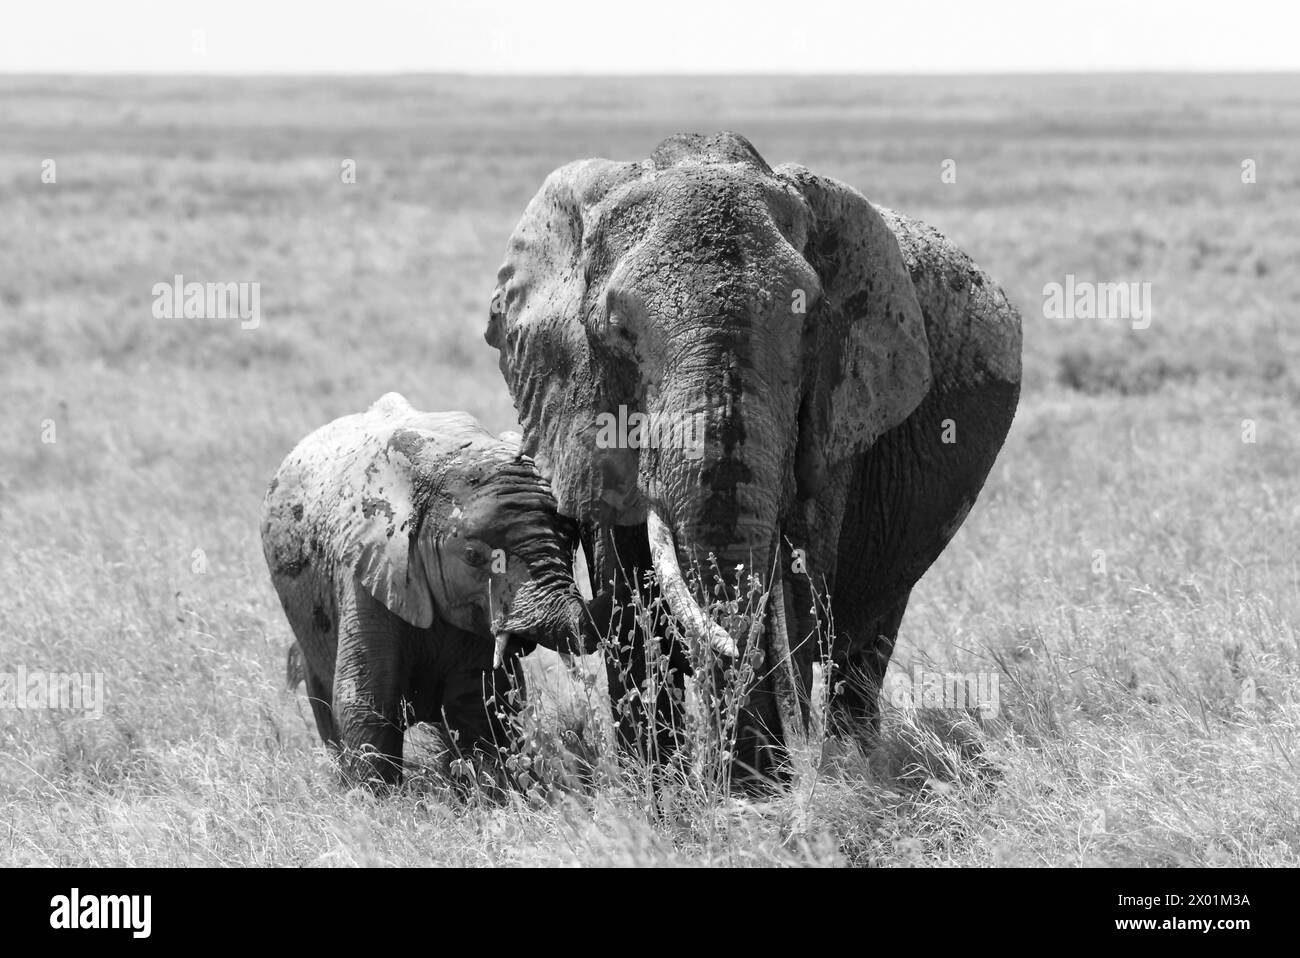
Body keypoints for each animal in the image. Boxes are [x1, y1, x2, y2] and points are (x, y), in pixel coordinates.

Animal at [261, 389, 595, 785]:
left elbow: (479, 705)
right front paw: (378, 797)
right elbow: (365, 701)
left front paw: (490, 789)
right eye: (473, 556)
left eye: (572, 542)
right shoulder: (366, 573)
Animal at [483, 130, 1019, 779]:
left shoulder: (836, 414)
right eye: (615, 330)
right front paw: (662, 798)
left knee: (865, 642)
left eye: (811, 324)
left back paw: (860, 763)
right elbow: (628, 597)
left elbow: (796, 588)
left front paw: (760, 791)